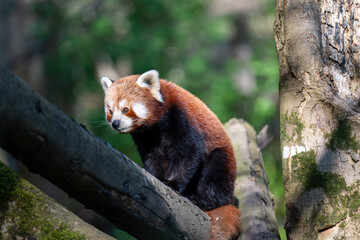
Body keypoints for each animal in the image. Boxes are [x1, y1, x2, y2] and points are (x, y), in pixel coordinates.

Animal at [100, 70, 240, 239]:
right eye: (110, 111)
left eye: (125, 109)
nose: (115, 123)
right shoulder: (147, 139)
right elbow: (152, 157)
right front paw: (155, 176)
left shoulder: (181, 118)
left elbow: (189, 153)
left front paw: (172, 183)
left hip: (224, 164)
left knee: (216, 169)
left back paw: (200, 198)